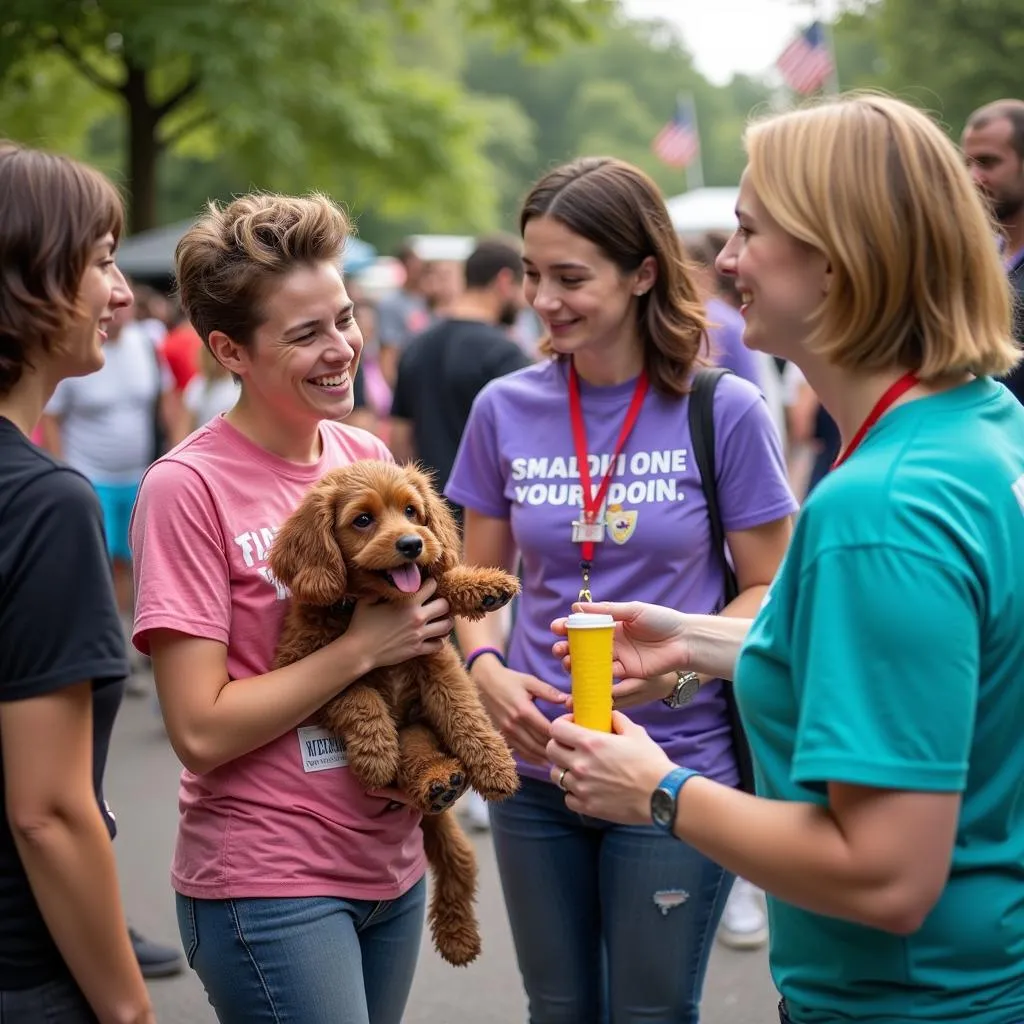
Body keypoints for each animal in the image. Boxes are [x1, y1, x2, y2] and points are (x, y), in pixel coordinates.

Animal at [268, 460, 520, 962]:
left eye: (411, 511)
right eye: (362, 520)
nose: (411, 544)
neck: (376, 603)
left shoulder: (438, 661)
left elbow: (465, 712)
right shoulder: (301, 666)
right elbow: (358, 694)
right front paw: (374, 752)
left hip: (421, 729)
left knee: (459, 857)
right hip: (409, 738)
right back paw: (433, 781)